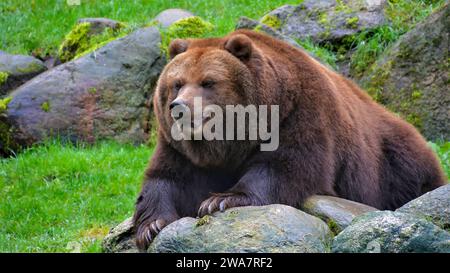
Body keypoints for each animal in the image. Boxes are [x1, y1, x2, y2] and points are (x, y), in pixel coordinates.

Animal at [131, 29, 446, 249]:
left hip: (393, 162)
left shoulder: (300, 113)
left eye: (208, 82)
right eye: (177, 83)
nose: (179, 108)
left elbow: (286, 165)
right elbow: (168, 178)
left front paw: (221, 200)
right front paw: (151, 226)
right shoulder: (179, 147)